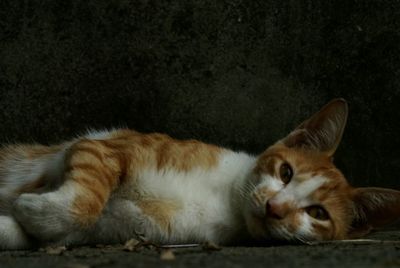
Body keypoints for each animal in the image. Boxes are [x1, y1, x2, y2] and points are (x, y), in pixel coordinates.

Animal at [0, 99, 400, 249]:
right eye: (286, 172)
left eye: (318, 213)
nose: (274, 207)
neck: (226, 200)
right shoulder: (103, 145)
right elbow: (85, 197)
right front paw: (29, 205)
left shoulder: (122, 227)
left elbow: (64, 225)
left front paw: (26, 213)